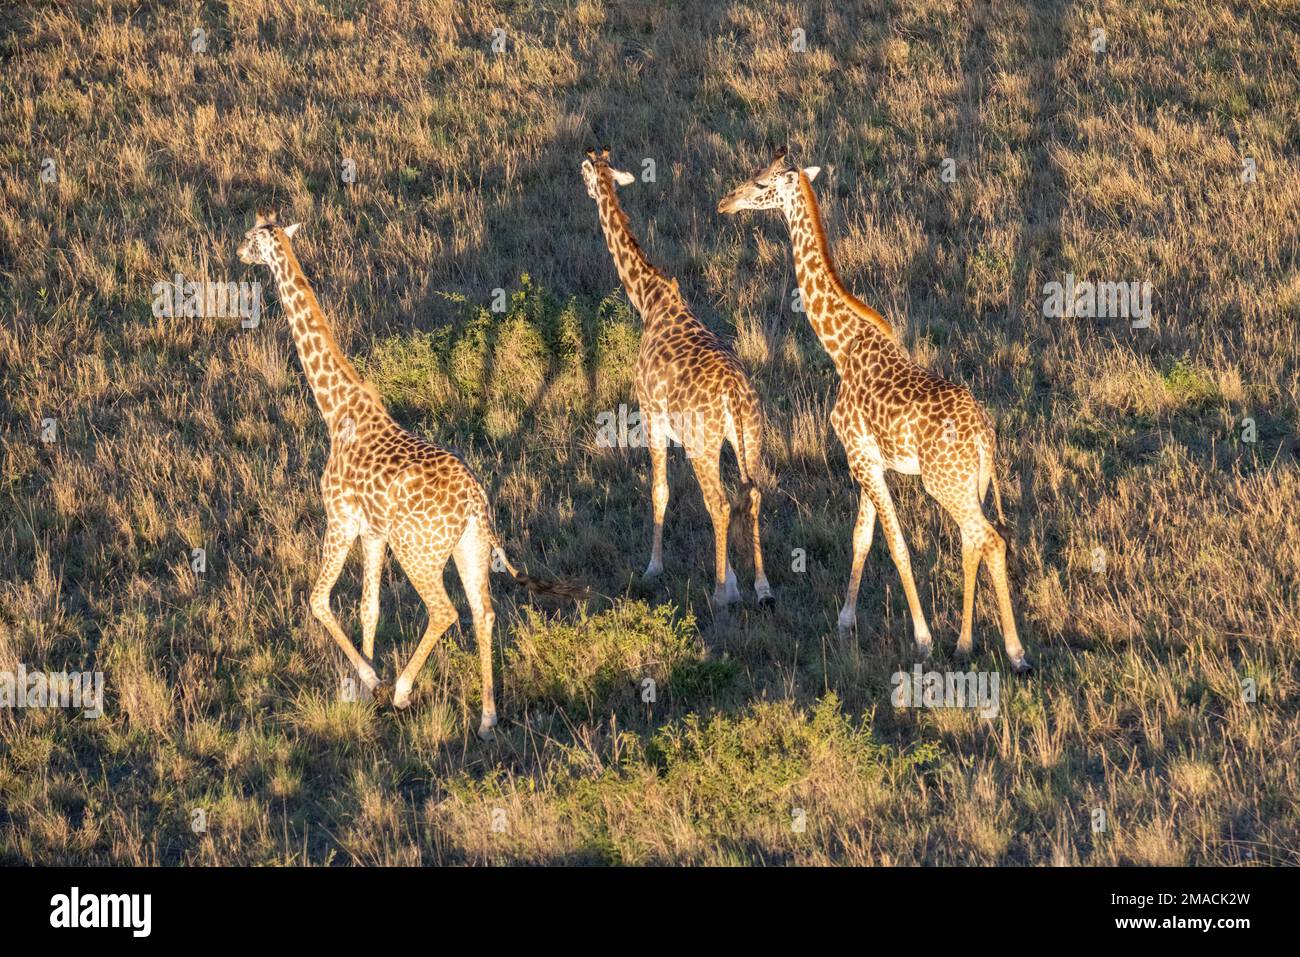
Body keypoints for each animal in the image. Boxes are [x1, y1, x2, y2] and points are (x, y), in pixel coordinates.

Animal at [237, 209, 587, 738]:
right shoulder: (374, 532)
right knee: (484, 613)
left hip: (419, 552)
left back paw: (404, 690)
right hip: (469, 548)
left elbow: (318, 600)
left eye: (250, 238)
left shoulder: (341, 519)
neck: (336, 409)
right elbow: (369, 608)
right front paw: (365, 690)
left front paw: (371, 680)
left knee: (445, 610)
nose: (237, 253)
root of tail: (476, 505)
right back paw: (487, 718)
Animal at [581, 147, 772, 612]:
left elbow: (659, 491)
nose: (582, 180)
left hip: (704, 443)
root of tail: (735, 396)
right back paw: (762, 586)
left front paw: (653, 567)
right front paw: (738, 577)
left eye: (588, 171)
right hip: (750, 436)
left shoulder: (651, 417)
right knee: (753, 494)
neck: (649, 299)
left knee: (719, 503)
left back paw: (720, 593)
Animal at [718, 151, 1031, 672]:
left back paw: (1015, 651)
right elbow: (862, 537)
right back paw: (966, 643)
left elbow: (896, 544)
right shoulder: (869, 460)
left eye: (761, 183)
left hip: (945, 483)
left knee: (989, 539)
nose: (726, 201)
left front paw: (922, 637)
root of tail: (985, 437)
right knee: (974, 542)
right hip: (973, 484)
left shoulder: (859, 457)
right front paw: (845, 621)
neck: (841, 346)